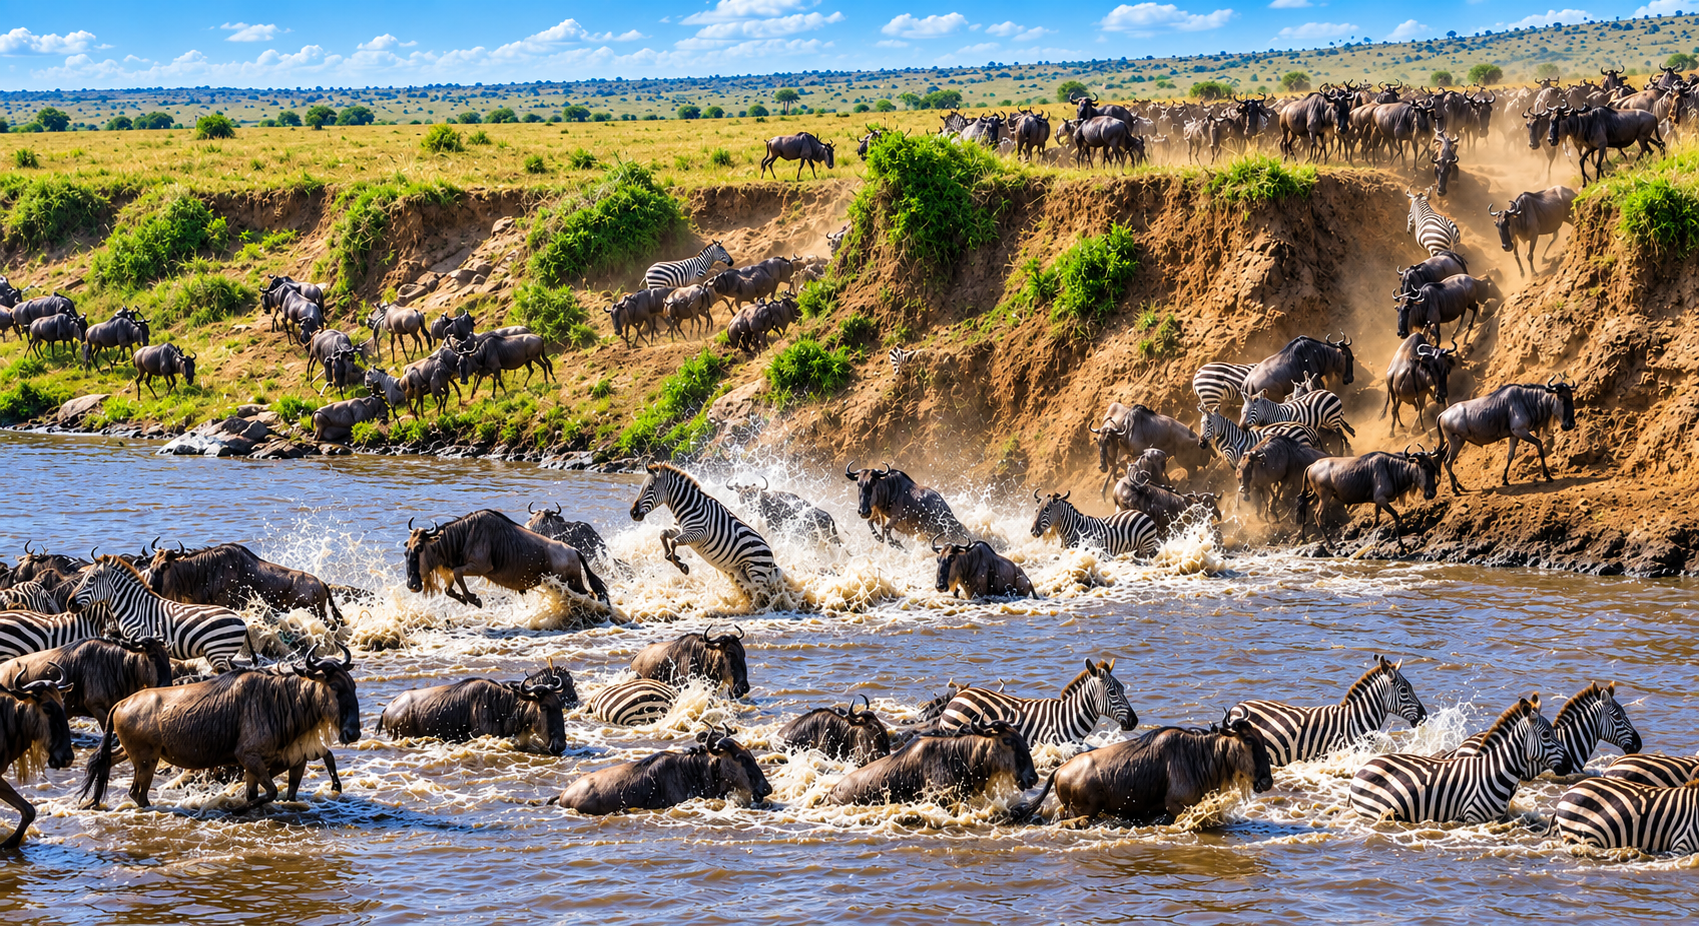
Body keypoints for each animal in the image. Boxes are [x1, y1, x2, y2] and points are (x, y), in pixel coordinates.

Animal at [67, 557, 250, 671]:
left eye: (91, 580)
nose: (69, 604)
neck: (133, 606)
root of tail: (241, 620)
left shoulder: (140, 639)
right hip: (223, 654)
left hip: (218, 652)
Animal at [629, 463, 781, 603]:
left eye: (650, 487)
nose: (633, 513)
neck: (690, 507)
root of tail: (771, 556)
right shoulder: (682, 530)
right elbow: (663, 534)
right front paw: (671, 556)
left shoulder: (699, 533)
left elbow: (674, 542)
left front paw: (681, 565)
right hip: (740, 573)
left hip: (757, 572)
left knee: (764, 595)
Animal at [1029, 491, 1160, 558]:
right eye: (1036, 510)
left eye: (1046, 510)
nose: (1033, 531)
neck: (1074, 528)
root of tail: (1143, 514)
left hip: (1146, 545)